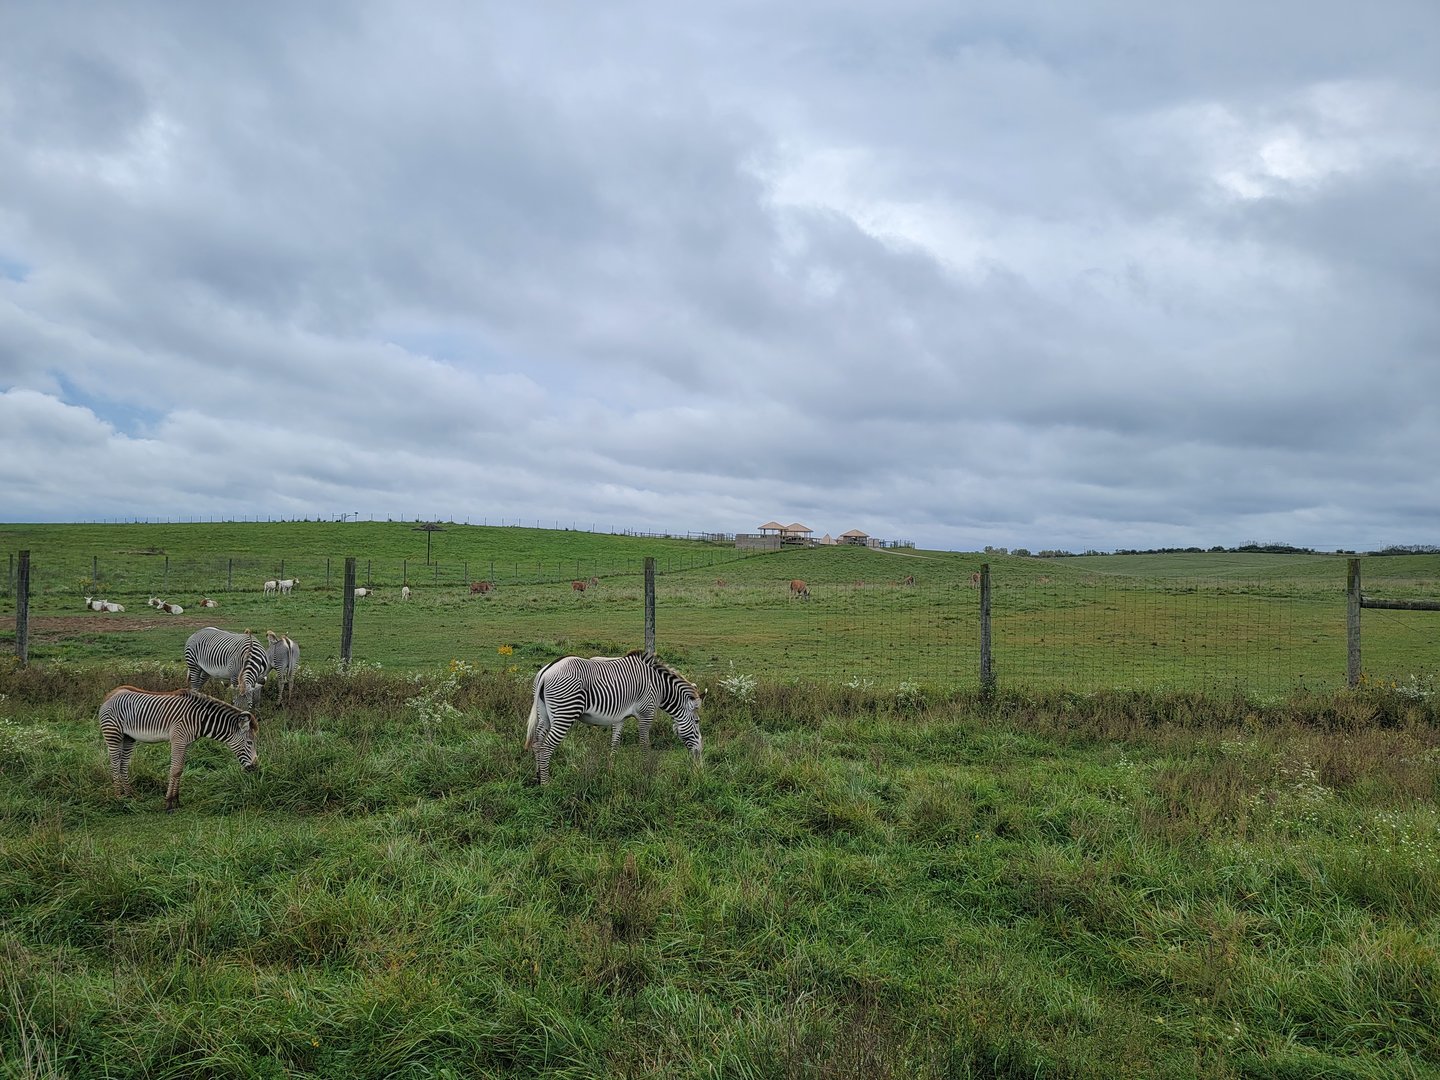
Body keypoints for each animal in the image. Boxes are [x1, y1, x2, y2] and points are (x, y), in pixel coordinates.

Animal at [98, 685, 258, 811]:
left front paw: (176, 800)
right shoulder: (178, 740)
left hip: (128, 737)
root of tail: (112, 693)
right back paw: (119, 798)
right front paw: (169, 802)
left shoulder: (185, 743)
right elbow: (174, 770)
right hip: (113, 734)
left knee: (123, 764)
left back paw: (130, 795)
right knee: (114, 765)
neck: (199, 718)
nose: (255, 768)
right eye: (250, 742)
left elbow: (180, 769)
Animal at [523, 650, 702, 784]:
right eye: (697, 721)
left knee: (537, 742)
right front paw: (647, 770)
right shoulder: (646, 713)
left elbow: (615, 743)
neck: (660, 686)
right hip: (564, 714)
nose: (699, 754)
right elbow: (644, 743)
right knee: (546, 748)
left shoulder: (620, 717)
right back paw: (546, 785)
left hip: (544, 714)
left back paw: (538, 777)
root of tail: (548, 670)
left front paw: (611, 769)